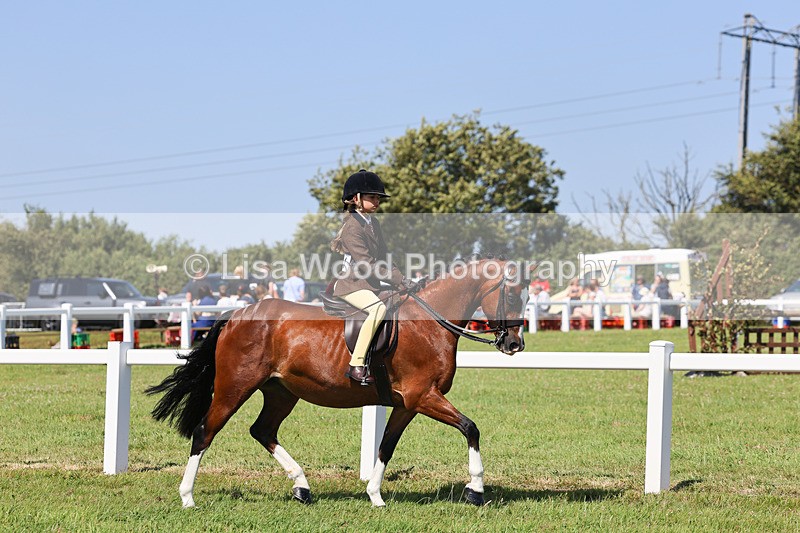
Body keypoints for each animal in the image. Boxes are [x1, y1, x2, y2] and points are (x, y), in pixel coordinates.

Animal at [147, 258, 528, 508]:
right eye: (512, 296)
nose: (514, 345)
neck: (428, 323)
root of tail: (237, 314)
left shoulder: (408, 404)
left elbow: (386, 446)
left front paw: (375, 496)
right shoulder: (423, 396)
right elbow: (471, 428)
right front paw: (475, 490)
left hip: (281, 393)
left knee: (263, 431)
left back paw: (302, 488)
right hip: (234, 388)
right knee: (204, 432)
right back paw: (187, 497)